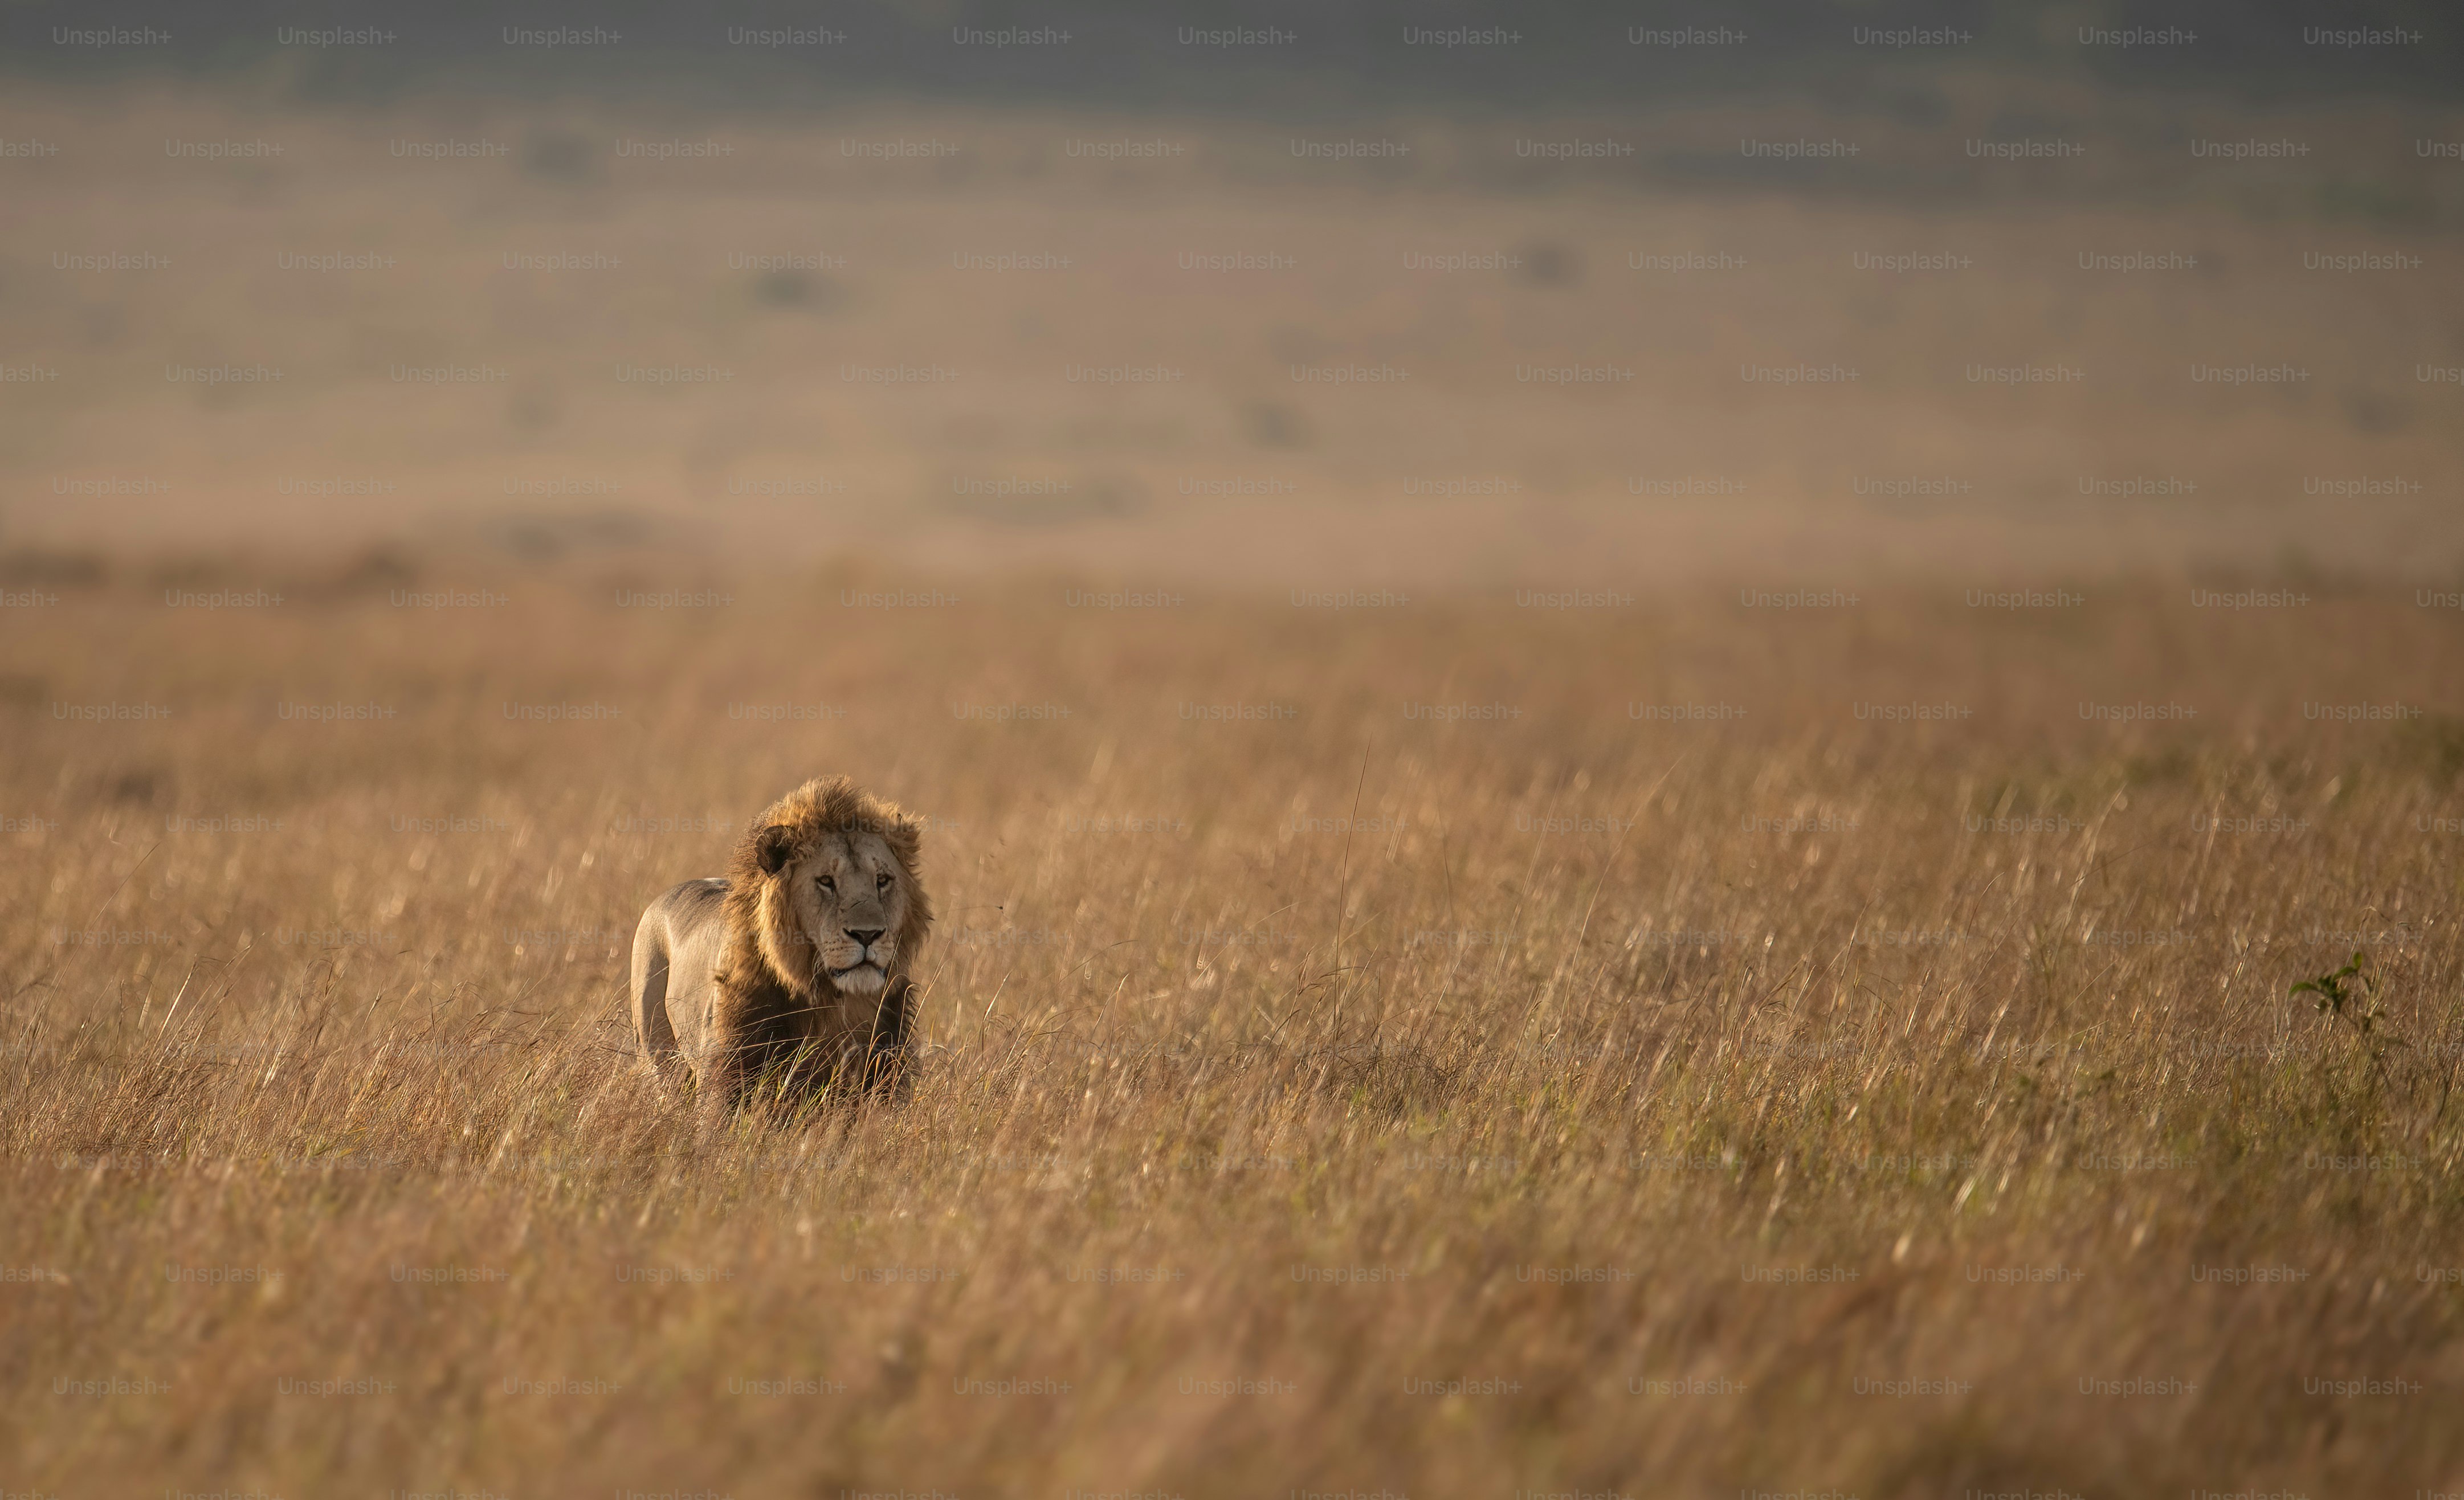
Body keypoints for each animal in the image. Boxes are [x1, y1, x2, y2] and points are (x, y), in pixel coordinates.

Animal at [630, 776, 932, 1117]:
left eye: (882, 880)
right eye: (826, 881)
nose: (867, 934)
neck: (831, 1000)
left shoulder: (882, 1069)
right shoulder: (727, 1071)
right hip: (657, 1052)